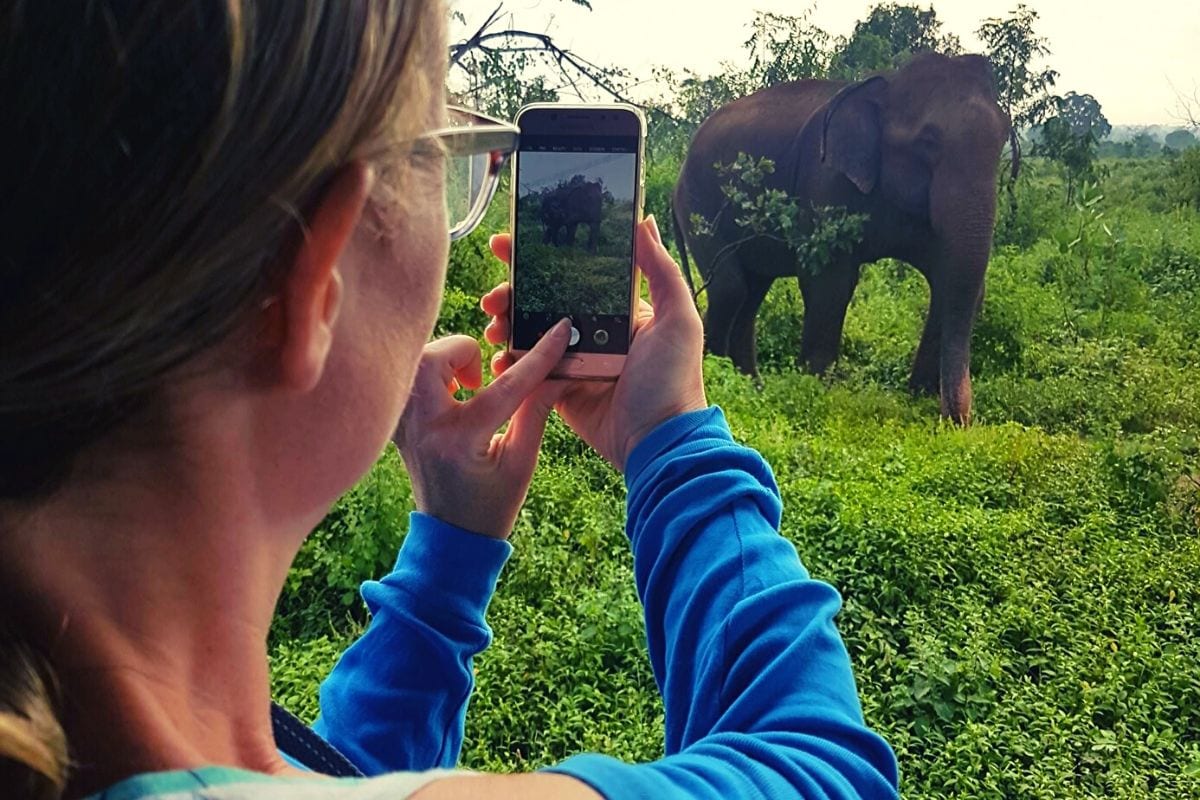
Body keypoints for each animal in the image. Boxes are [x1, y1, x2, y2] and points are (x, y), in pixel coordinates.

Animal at [676, 51, 1012, 424]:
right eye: (928, 141)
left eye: (1003, 140)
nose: (958, 421)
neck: (887, 84)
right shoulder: (825, 180)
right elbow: (830, 283)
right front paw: (818, 389)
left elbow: (949, 280)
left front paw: (917, 396)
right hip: (697, 202)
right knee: (731, 286)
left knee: (751, 291)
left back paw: (752, 386)